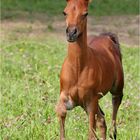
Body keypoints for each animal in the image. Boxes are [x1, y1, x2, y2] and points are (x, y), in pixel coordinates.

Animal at [55, 0, 123, 139]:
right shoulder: (67, 96)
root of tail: (107, 37)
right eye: (64, 12)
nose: (71, 33)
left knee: (113, 110)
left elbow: (91, 132)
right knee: (102, 120)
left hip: (116, 89)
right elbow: (61, 112)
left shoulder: (91, 101)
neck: (77, 69)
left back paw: (113, 132)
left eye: (85, 13)